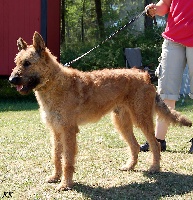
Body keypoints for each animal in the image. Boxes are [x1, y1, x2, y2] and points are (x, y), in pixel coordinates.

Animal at [9, 31, 191, 191]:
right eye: (16, 62)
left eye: (27, 63)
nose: (11, 80)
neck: (54, 83)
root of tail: (144, 76)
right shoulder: (56, 131)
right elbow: (56, 157)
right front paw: (55, 177)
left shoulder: (68, 131)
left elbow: (67, 160)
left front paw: (65, 184)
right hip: (122, 124)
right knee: (135, 146)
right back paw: (129, 166)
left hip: (142, 119)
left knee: (155, 144)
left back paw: (155, 167)